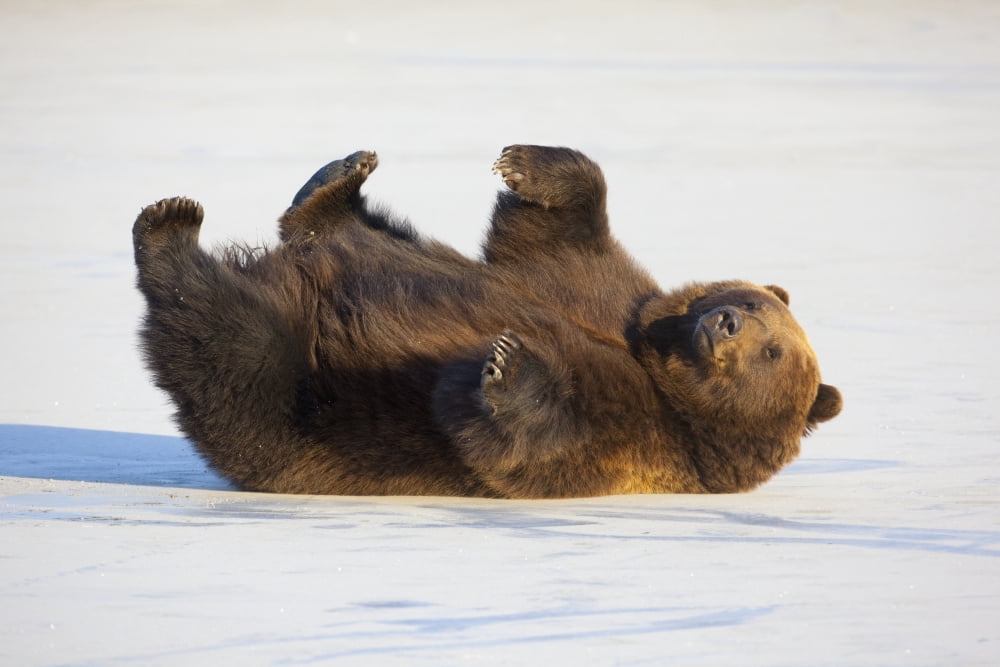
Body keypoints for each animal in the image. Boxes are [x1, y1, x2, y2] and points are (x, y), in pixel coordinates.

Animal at [132, 145, 842, 498]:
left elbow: (526, 442)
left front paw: (507, 362)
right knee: (347, 232)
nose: (725, 322)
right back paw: (336, 178)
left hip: (305, 400)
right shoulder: (602, 296)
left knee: (229, 341)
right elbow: (552, 240)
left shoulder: (638, 437)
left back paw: (171, 229)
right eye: (757, 306)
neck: (658, 369)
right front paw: (527, 162)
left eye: (775, 353)